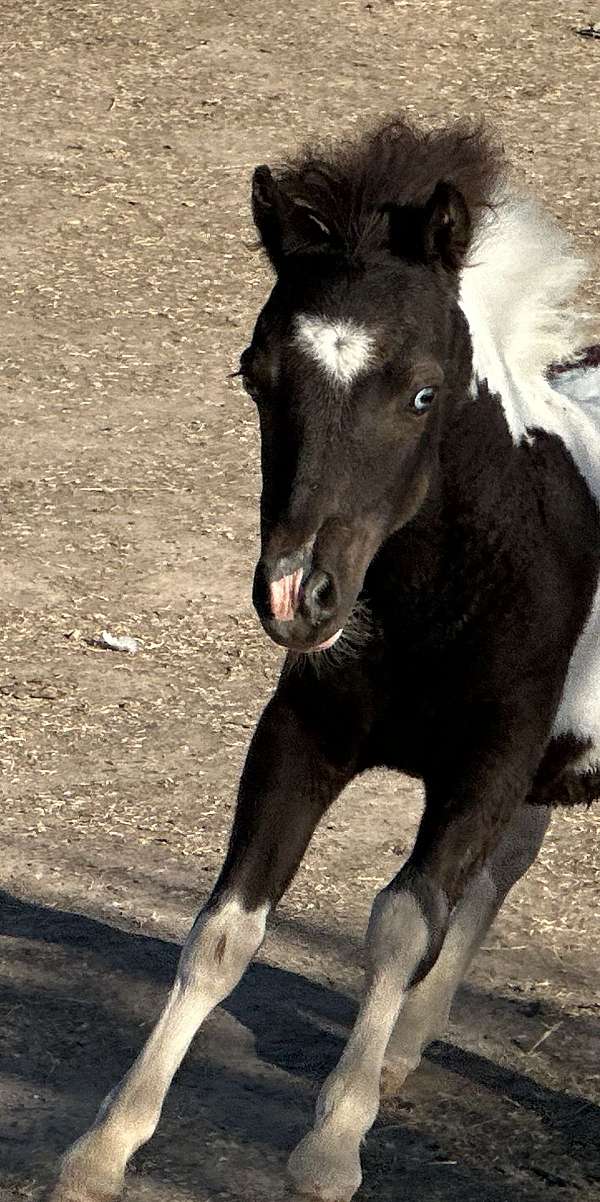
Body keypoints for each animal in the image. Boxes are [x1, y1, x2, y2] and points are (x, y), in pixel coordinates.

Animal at [50, 117, 600, 1202]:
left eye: (423, 392)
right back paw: (405, 1050)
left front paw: (329, 1150)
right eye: (254, 375)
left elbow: (402, 923)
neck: (446, 598)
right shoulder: (302, 733)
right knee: (513, 858)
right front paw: (104, 1146)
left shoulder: (486, 763)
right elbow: (224, 930)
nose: (296, 596)